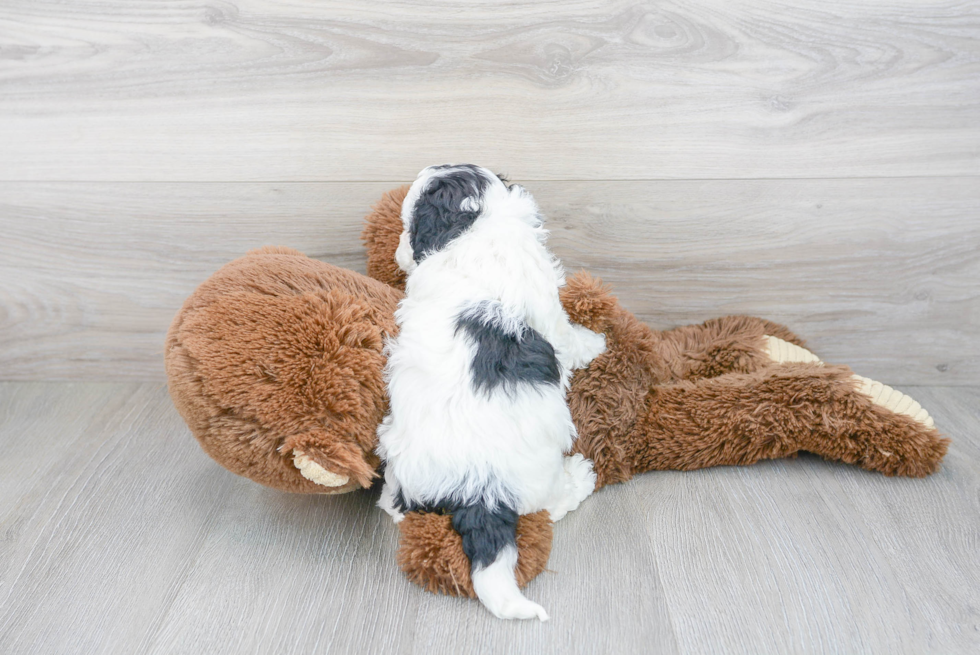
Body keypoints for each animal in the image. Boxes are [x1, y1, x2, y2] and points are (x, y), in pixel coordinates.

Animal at [376, 164, 604, 620]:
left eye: (409, 226)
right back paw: (581, 476)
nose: (398, 255)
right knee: (550, 506)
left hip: (398, 459)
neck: (477, 225)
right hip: (540, 472)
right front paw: (596, 343)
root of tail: (477, 490)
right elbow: (569, 337)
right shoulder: (549, 311)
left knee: (395, 507)